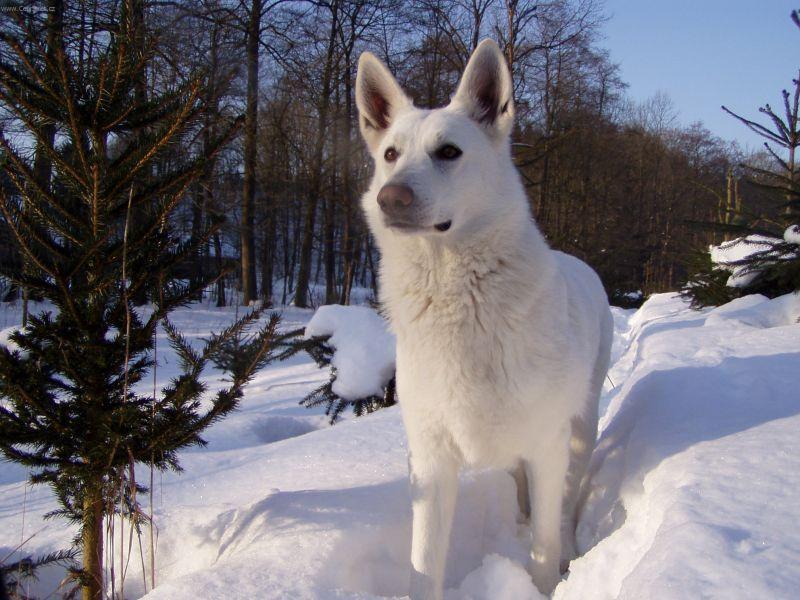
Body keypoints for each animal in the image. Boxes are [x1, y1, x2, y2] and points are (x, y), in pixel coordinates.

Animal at [356, 39, 612, 596]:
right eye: (390, 155)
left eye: (449, 152)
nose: (391, 198)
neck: (459, 298)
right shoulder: (431, 463)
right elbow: (424, 563)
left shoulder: (547, 444)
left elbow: (544, 545)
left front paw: (546, 581)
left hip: (581, 426)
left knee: (567, 500)